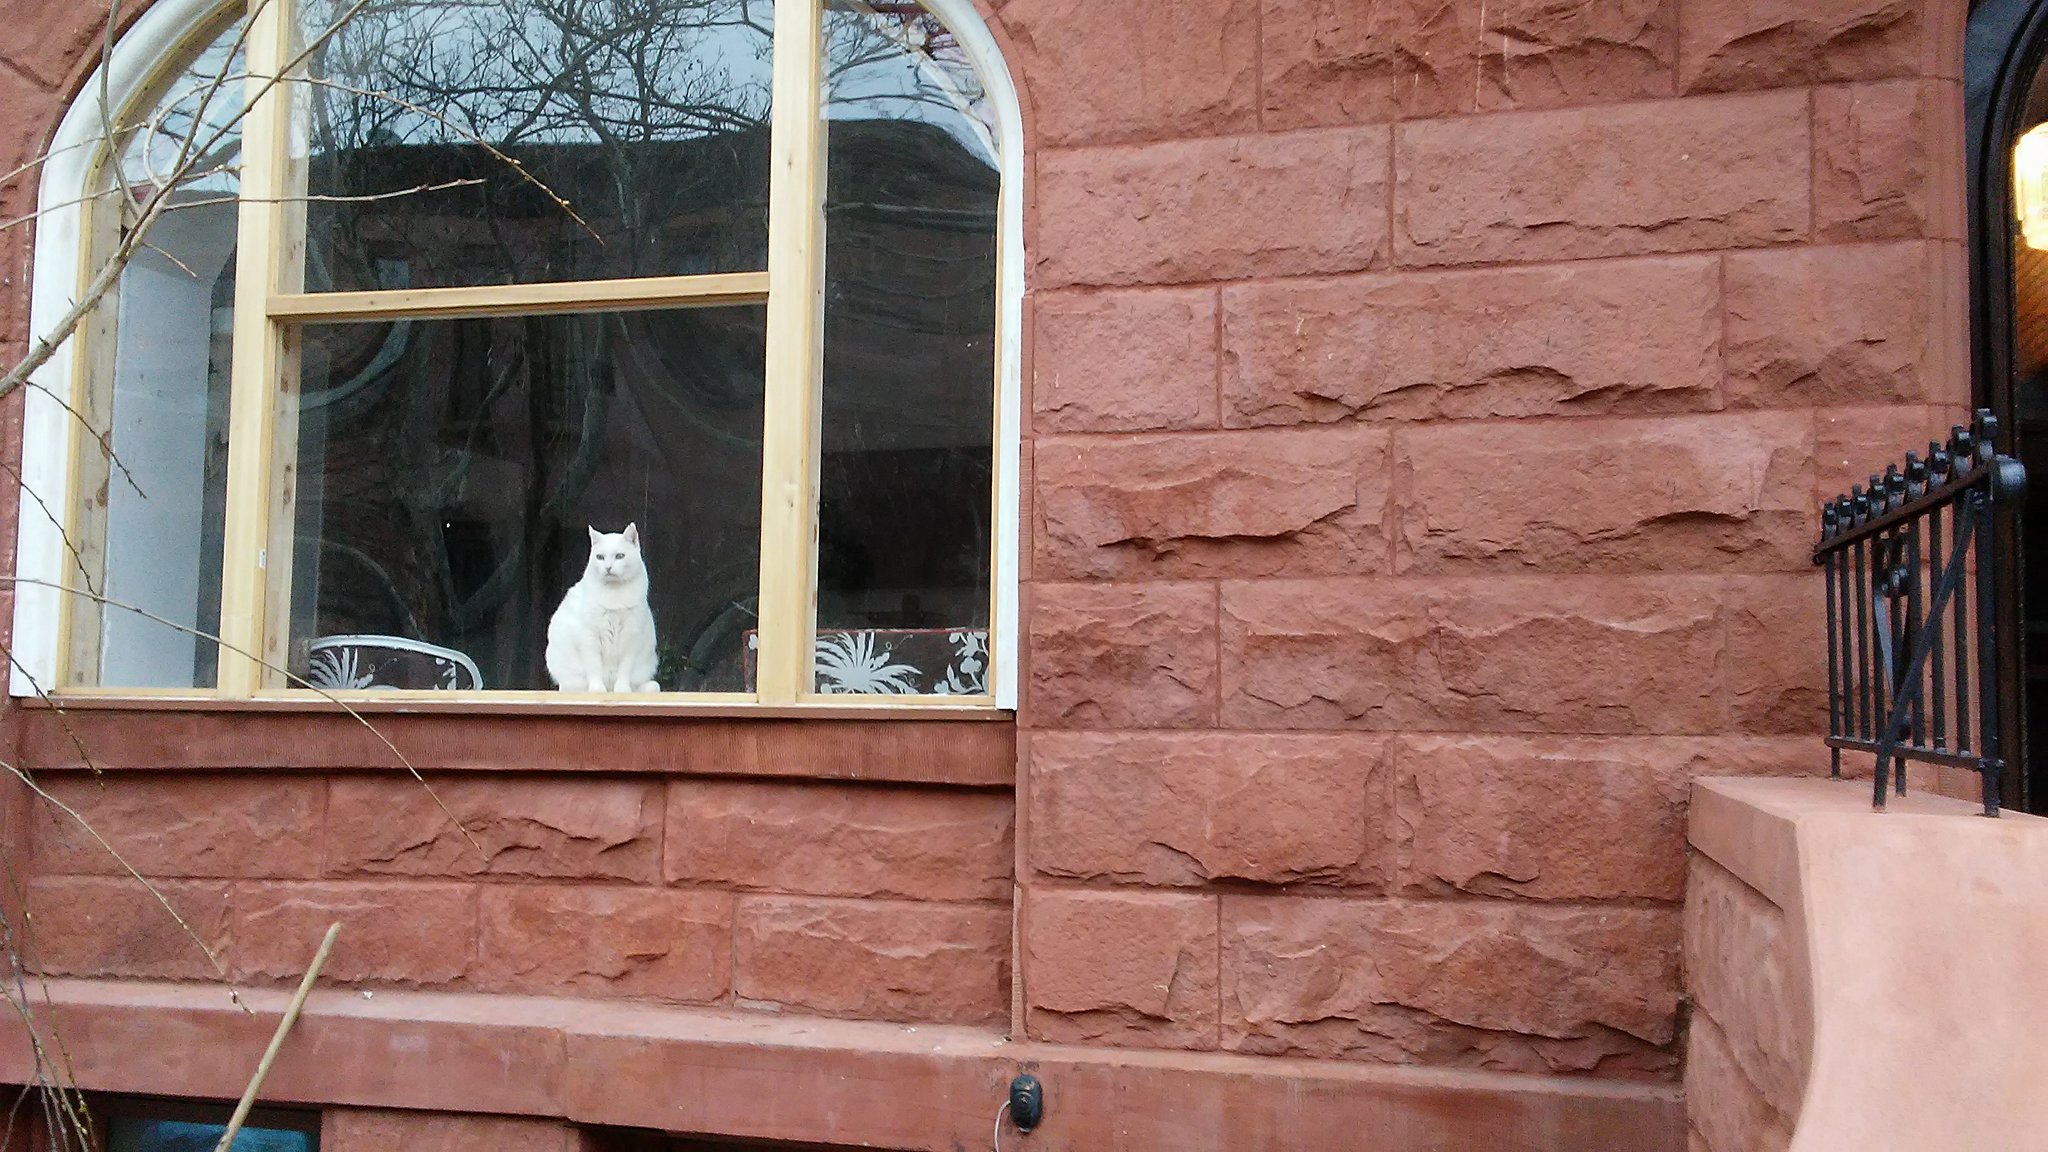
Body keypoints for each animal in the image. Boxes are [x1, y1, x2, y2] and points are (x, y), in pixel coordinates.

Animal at [540, 522, 659, 688]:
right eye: (600, 557)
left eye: (620, 556)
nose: (608, 567)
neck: (614, 593)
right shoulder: (590, 637)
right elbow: (594, 666)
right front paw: (597, 688)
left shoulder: (631, 637)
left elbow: (625, 668)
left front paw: (622, 689)